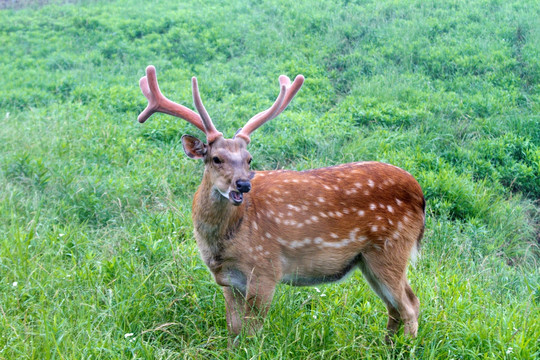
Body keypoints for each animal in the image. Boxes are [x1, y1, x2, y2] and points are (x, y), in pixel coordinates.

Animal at [138, 64, 426, 340]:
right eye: (216, 158)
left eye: (249, 159)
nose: (243, 184)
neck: (224, 241)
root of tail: (420, 195)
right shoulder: (227, 280)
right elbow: (233, 330)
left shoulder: (265, 269)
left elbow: (251, 332)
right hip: (368, 259)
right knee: (395, 308)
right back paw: (387, 345)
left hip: (390, 247)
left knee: (410, 305)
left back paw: (407, 347)